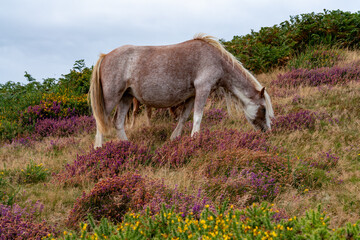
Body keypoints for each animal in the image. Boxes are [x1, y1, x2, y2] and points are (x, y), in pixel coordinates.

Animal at [89, 33, 272, 148]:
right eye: (263, 109)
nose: (267, 132)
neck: (216, 59)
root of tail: (105, 56)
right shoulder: (203, 89)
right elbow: (198, 117)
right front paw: (195, 140)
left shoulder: (192, 95)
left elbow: (184, 118)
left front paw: (175, 138)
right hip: (111, 98)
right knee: (101, 121)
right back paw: (98, 148)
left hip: (126, 97)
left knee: (118, 122)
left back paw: (127, 146)